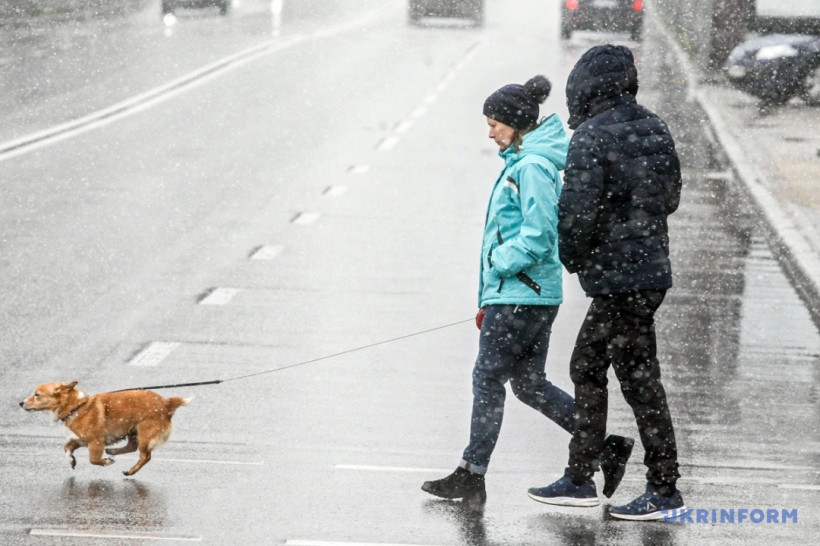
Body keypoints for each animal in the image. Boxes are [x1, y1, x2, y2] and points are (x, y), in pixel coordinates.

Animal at [21, 380, 191, 474]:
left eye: (37, 395)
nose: (20, 403)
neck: (77, 406)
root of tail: (167, 402)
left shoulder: (95, 441)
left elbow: (93, 459)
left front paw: (106, 462)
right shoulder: (80, 439)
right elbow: (66, 447)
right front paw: (71, 460)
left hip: (144, 434)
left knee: (145, 456)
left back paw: (130, 471)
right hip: (132, 430)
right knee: (131, 447)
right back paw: (113, 451)